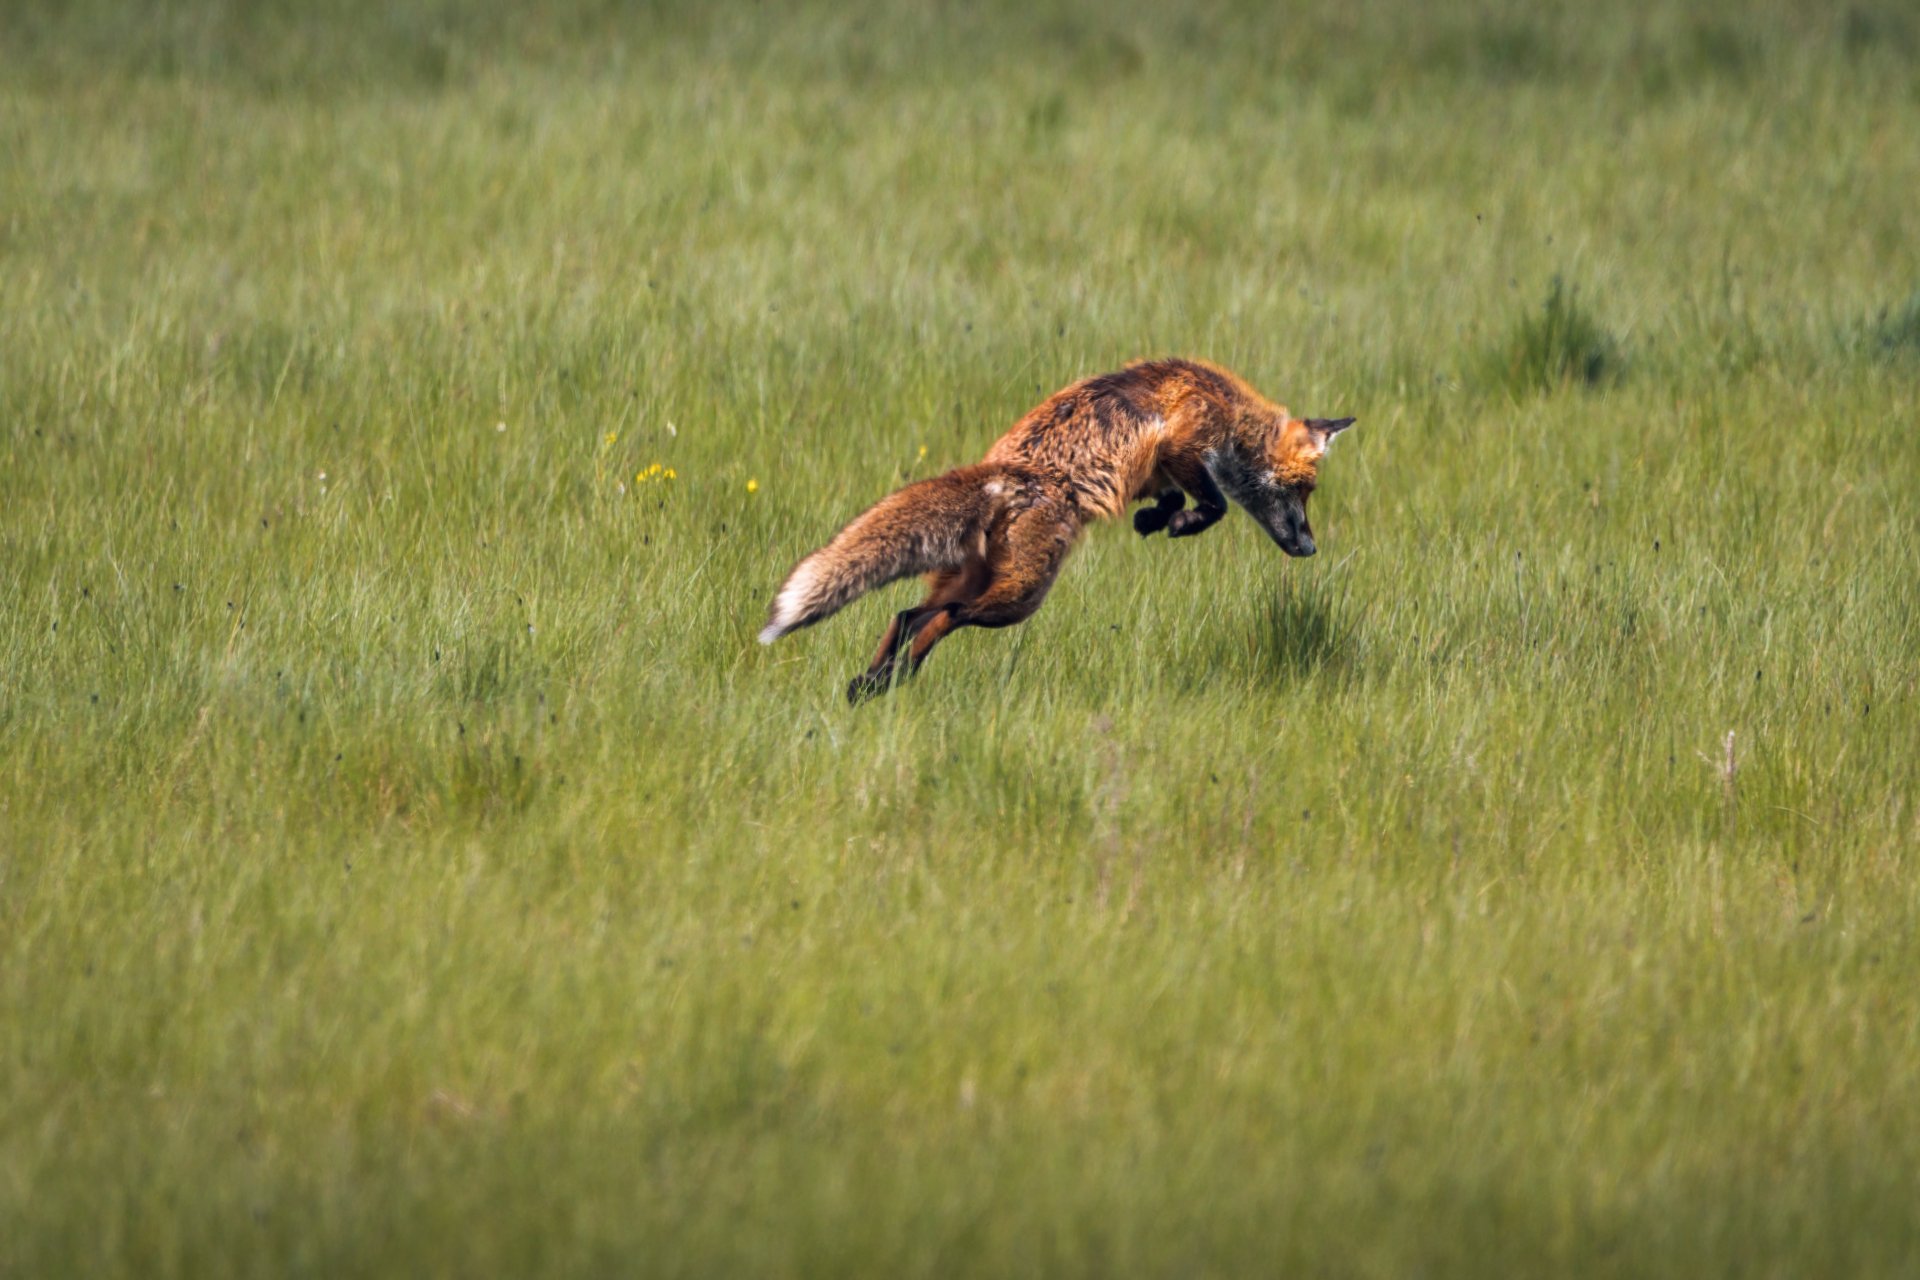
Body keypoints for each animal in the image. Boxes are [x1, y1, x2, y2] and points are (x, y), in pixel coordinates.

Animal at [758, 358, 1355, 702]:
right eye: (1304, 492)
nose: (1310, 547)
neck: (1229, 411)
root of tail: (1004, 476)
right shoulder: (1185, 444)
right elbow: (1214, 504)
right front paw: (1184, 522)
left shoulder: (1157, 469)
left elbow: (1169, 497)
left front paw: (1155, 520)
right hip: (1020, 595)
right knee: (945, 618)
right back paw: (895, 678)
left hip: (980, 582)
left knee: (907, 615)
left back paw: (874, 683)